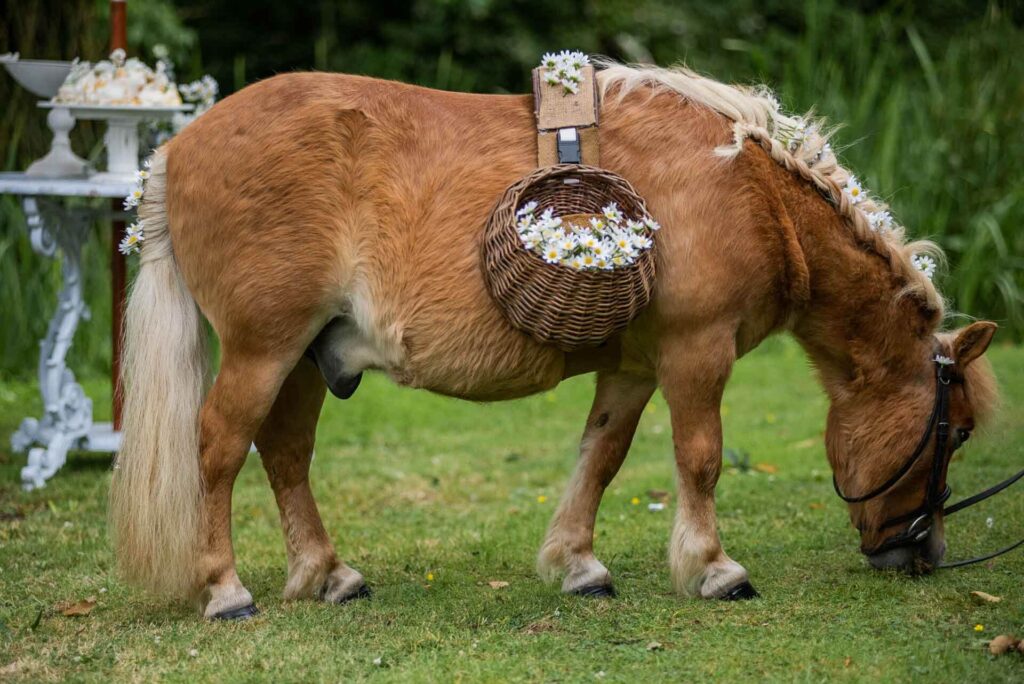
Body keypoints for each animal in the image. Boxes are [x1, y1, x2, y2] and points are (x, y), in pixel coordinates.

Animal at [108, 60, 999, 619]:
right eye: (954, 433)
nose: (921, 553)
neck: (744, 187)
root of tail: (177, 147)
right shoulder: (696, 353)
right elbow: (700, 459)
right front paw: (712, 568)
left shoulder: (635, 369)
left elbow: (600, 457)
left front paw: (578, 563)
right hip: (264, 350)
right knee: (221, 448)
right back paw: (225, 589)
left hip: (298, 357)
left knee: (286, 453)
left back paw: (326, 574)